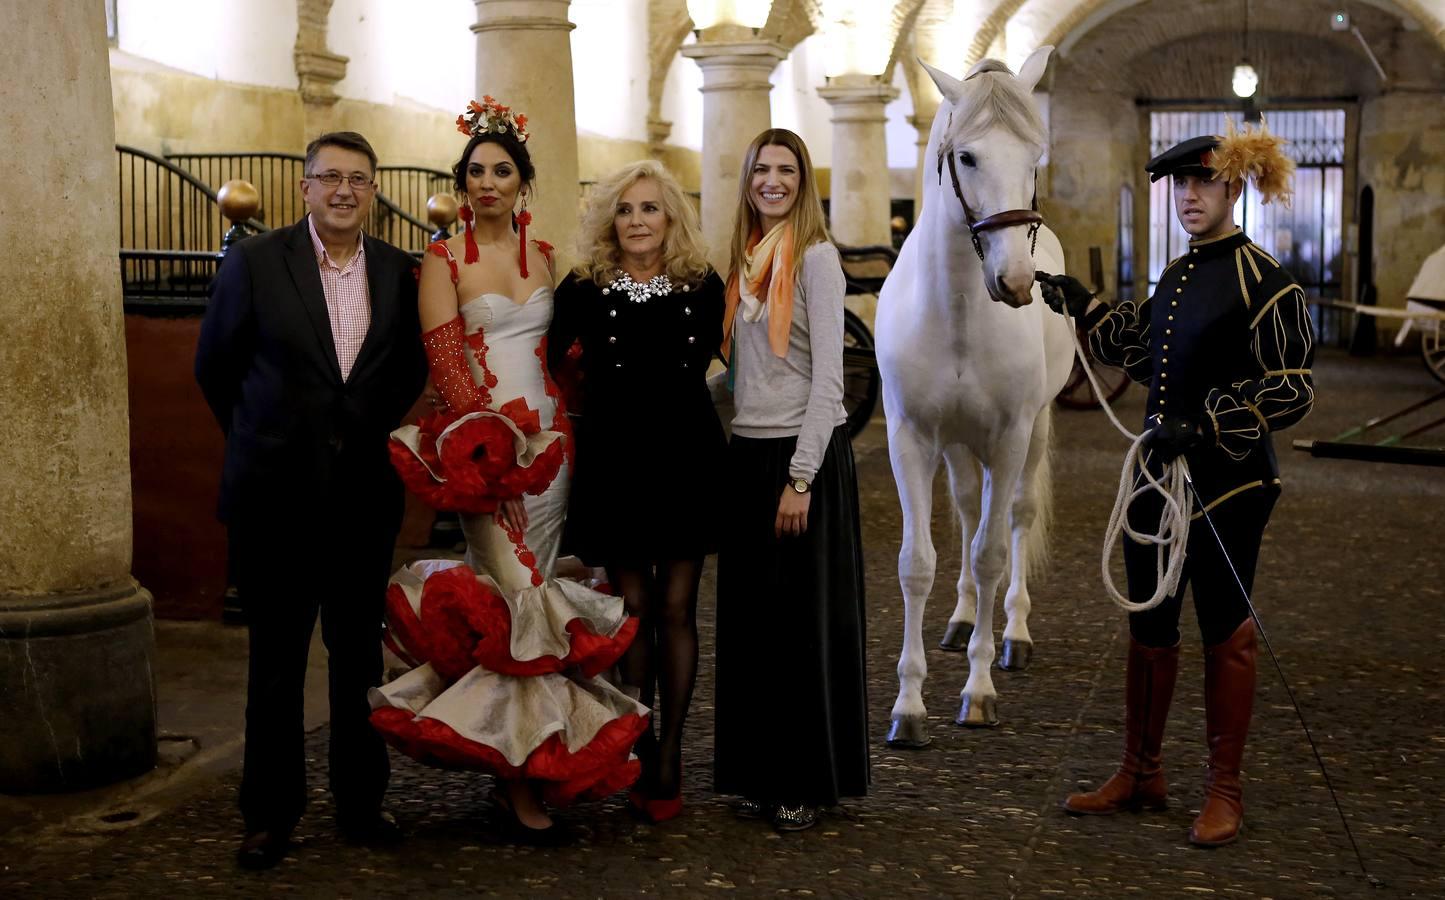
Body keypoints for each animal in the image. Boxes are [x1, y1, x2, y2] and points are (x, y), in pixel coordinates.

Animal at [872, 45, 1080, 745]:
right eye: (966, 156)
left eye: (1035, 158)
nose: (1015, 280)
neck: (959, 311)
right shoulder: (910, 438)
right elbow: (916, 562)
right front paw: (908, 707)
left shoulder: (1011, 435)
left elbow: (992, 552)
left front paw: (979, 689)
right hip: (959, 445)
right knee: (966, 509)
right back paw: (963, 619)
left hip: (1030, 435)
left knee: (1011, 517)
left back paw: (1011, 634)